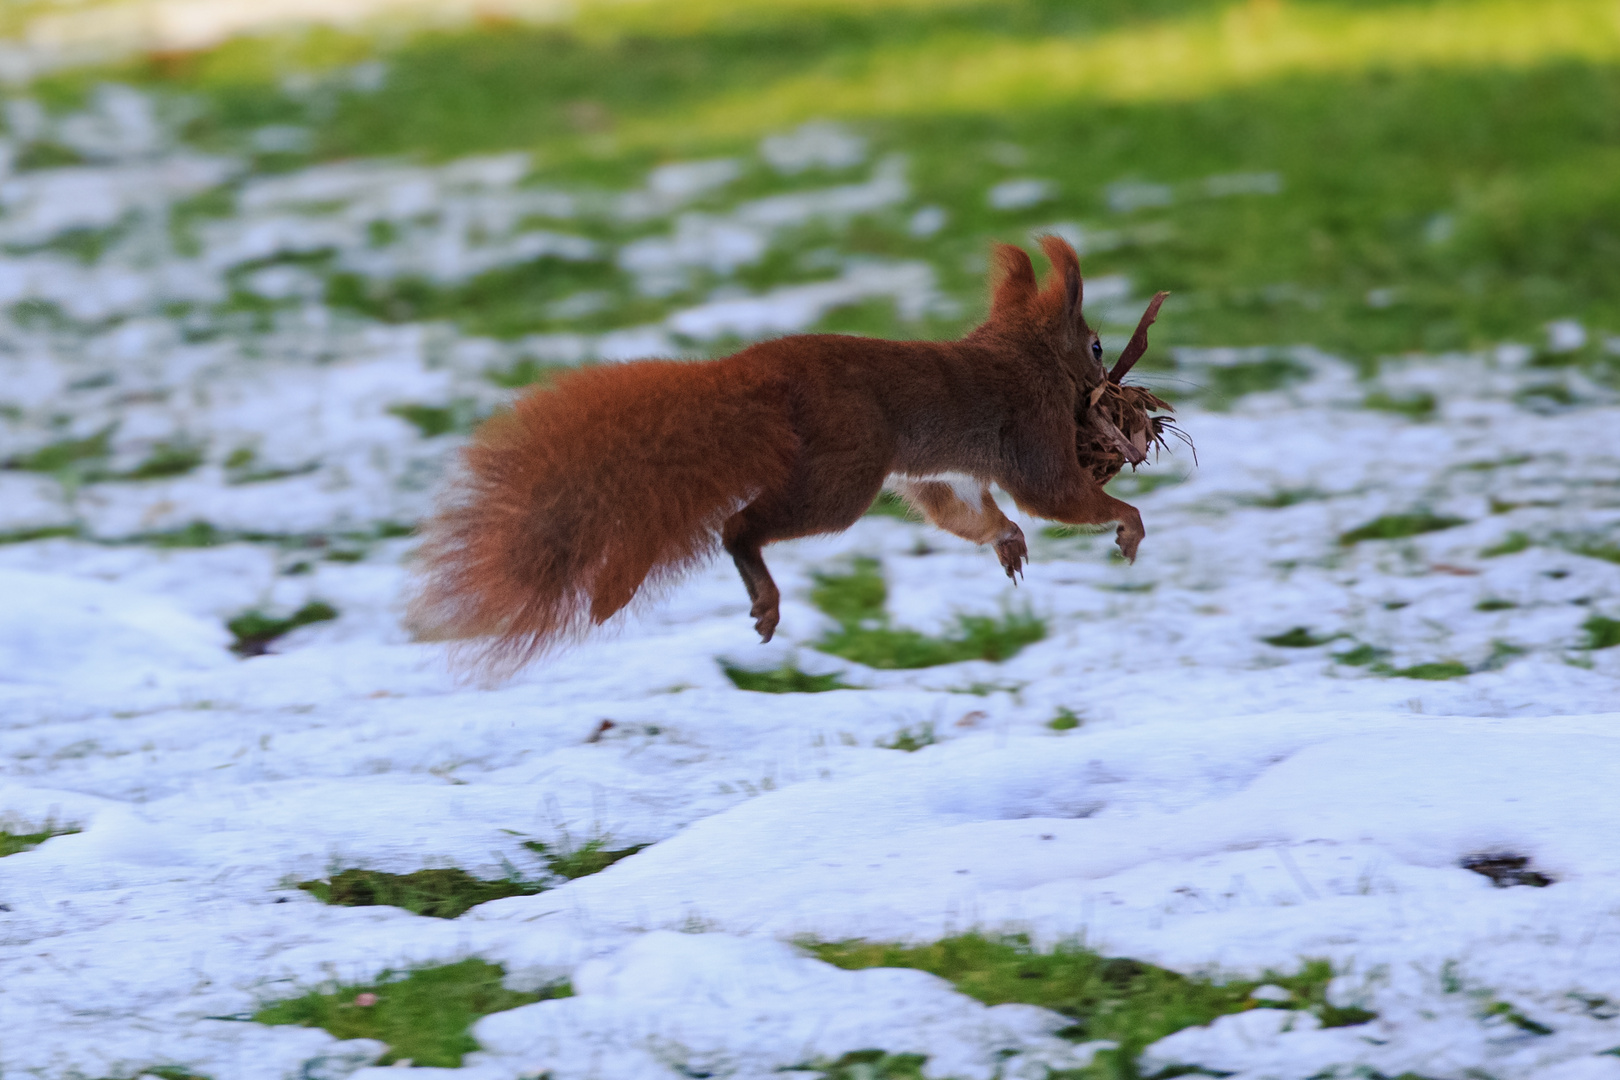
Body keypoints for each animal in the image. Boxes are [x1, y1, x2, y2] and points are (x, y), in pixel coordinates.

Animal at [414, 236, 1179, 667]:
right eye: (1097, 346)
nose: (1116, 386)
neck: (1019, 349)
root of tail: (763, 375)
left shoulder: (940, 473)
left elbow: (964, 509)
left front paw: (1008, 541)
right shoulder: (1032, 431)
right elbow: (1053, 495)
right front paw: (1128, 523)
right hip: (844, 473)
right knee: (739, 525)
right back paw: (763, 591)